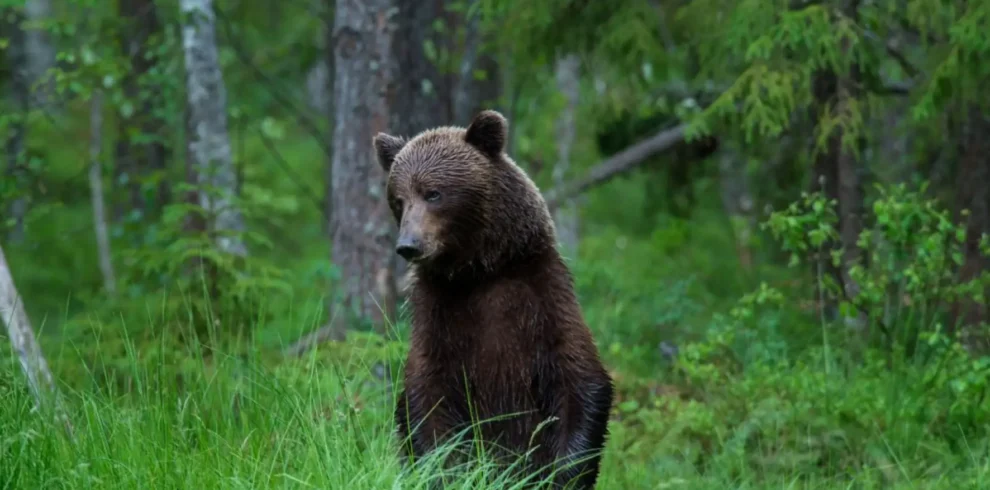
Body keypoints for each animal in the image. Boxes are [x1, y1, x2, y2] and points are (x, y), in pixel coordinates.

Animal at [373, 110, 614, 489]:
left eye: (433, 193)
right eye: (398, 199)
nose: (409, 245)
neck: (479, 272)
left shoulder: (544, 298)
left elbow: (579, 380)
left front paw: (561, 474)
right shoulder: (437, 314)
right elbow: (425, 398)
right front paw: (447, 470)